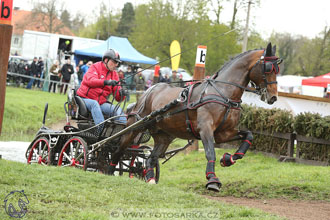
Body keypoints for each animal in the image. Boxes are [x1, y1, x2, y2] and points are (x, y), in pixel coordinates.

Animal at [110, 42, 282, 191]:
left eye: (277, 69)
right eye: (268, 68)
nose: (273, 97)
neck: (223, 93)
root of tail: (149, 91)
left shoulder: (223, 133)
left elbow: (249, 135)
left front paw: (228, 159)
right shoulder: (205, 129)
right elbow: (210, 152)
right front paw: (212, 179)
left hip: (164, 136)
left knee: (151, 158)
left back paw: (150, 179)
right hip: (134, 128)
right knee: (118, 149)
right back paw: (108, 171)